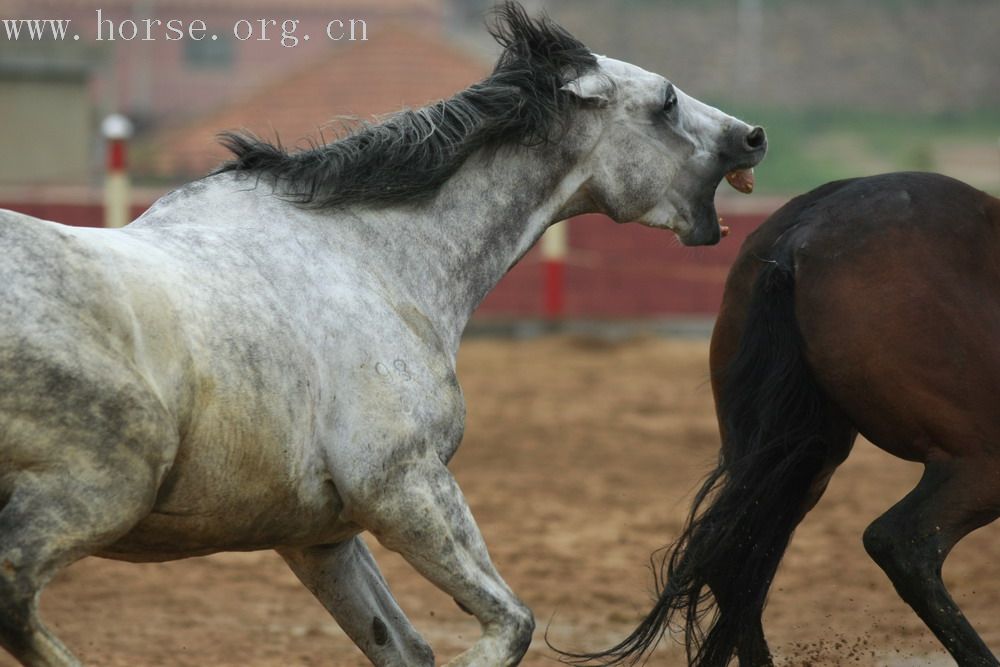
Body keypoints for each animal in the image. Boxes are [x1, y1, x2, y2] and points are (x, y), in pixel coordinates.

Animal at [0, 5, 764, 667]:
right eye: (665, 102)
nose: (752, 136)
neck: (372, 257)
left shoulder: (322, 537)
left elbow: (405, 645)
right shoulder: (404, 487)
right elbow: (510, 623)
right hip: (105, 487)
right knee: (14, 590)